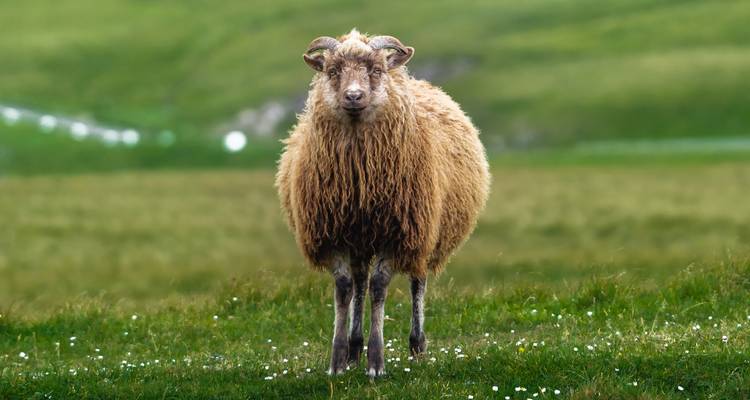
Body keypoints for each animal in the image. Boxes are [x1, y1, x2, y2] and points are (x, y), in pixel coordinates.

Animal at [275, 29, 490, 377]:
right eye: (332, 71)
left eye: (376, 70)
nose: (353, 95)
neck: (360, 179)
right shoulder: (332, 234)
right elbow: (345, 288)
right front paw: (338, 360)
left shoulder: (398, 232)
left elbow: (379, 287)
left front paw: (376, 363)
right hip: (362, 239)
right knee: (359, 281)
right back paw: (354, 346)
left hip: (424, 232)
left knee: (417, 280)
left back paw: (417, 345)